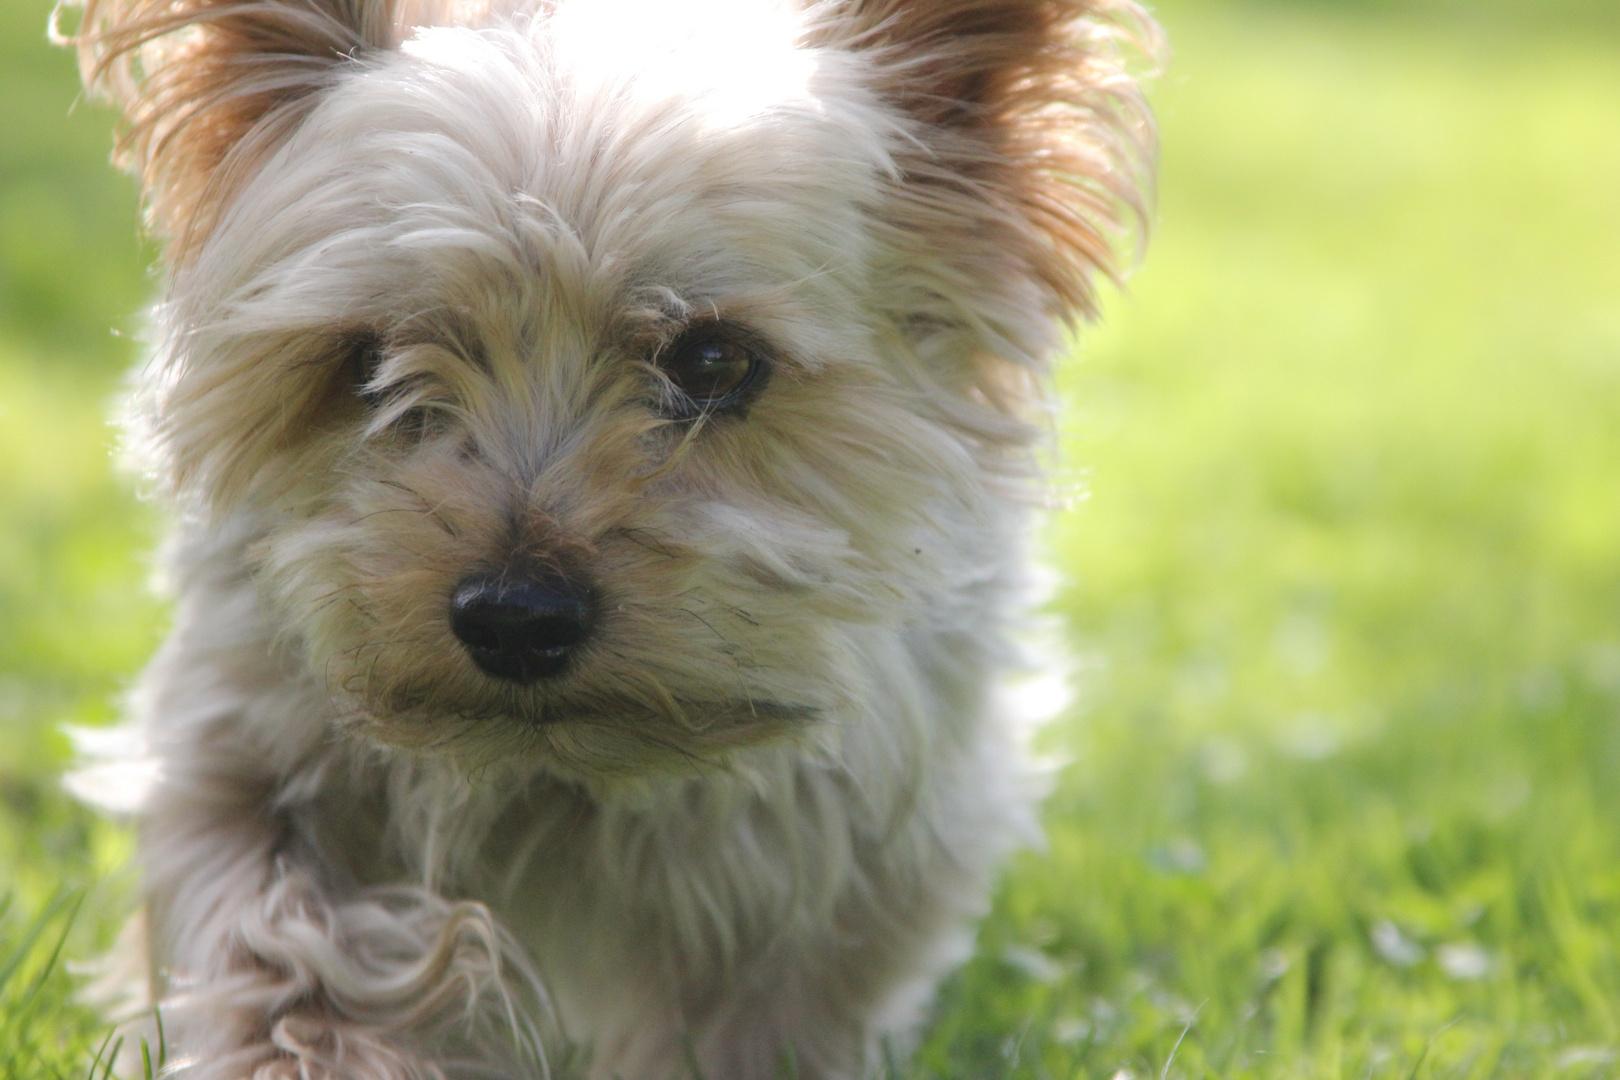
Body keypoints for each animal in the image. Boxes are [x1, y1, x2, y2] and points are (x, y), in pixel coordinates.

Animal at [57, 0, 1159, 1075]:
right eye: (369, 364)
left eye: (715, 361)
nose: (513, 617)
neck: (564, 770)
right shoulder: (245, 730)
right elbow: (278, 944)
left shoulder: (852, 840)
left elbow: (764, 1021)